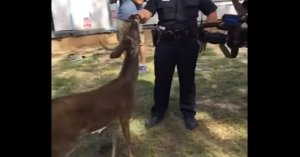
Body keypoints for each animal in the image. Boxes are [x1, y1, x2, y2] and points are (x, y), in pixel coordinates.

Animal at [51, 17, 141, 157]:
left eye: (130, 33)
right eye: (134, 34)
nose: (134, 19)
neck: (128, 82)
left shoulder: (111, 120)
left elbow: (114, 142)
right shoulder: (125, 115)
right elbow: (128, 142)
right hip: (63, 143)